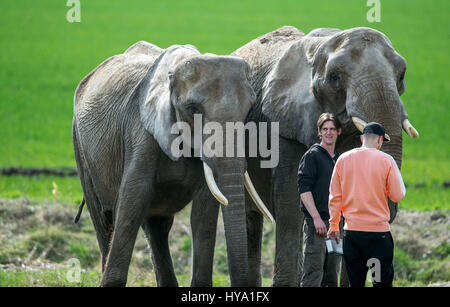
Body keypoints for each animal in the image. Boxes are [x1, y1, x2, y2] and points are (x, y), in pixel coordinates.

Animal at [72, 39, 268, 288]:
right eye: (193, 109)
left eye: (249, 110)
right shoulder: (142, 132)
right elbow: (132, 200)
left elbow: (204, 210)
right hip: (80, 146)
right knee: (103, 220)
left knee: (158, 227)